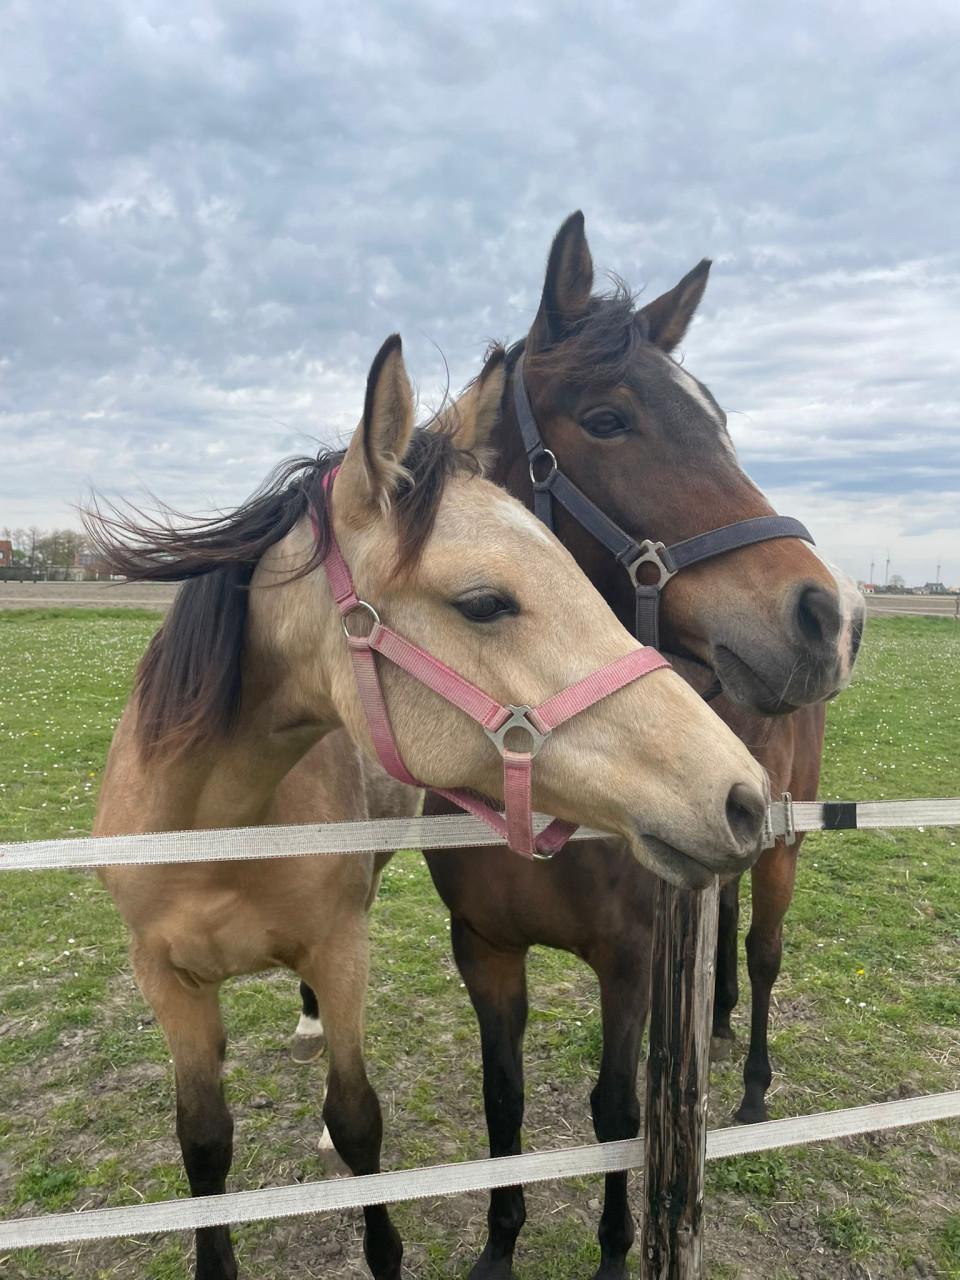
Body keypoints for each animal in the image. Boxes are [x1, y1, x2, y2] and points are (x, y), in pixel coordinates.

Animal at [87, 333, 770, 1280]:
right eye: (484, 602)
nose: (743, 796)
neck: (216, 829)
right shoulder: (167, 980)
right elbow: (204, 1144)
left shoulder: (344, 951)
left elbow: (356, 1121)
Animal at [290, 214, 865, 1280]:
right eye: (607, 419)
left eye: (721, 423)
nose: (825, 617)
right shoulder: (485, 948)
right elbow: (503, 1103)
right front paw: (499, 1245)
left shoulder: (628, 959)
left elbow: (614, 1112)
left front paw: (611, 1251)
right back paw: (718, 1021)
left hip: (786, 841)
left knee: (763, 951)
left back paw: (751, 1080)